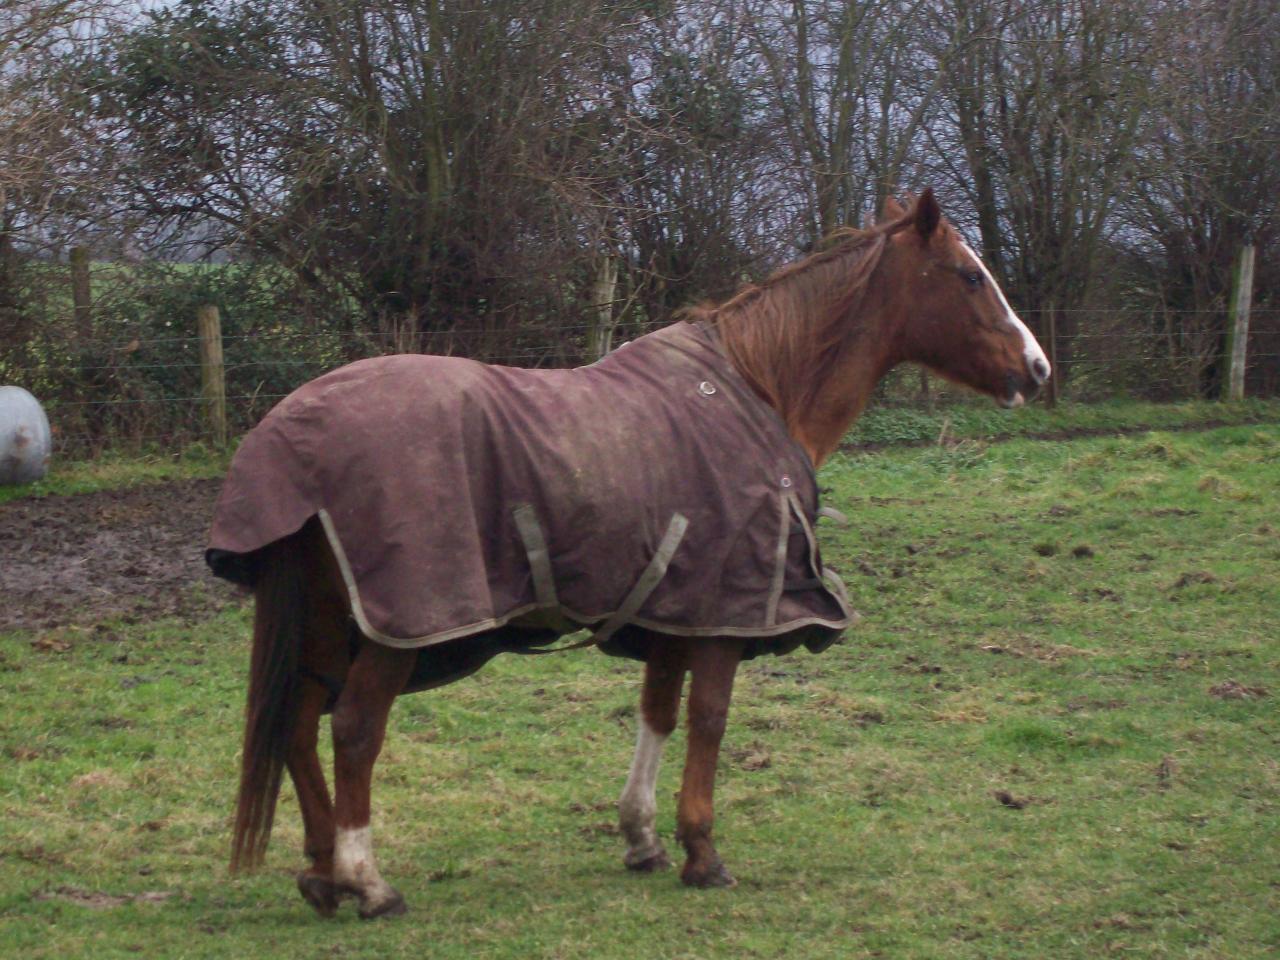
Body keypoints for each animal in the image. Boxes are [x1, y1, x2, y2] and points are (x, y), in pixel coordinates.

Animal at [220, 192, 1049, 921]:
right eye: (970, 275)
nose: (1037, 368)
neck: (759, 385)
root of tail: (287, 439)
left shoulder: (677, 605)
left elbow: (658, 710)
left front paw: (643, 837)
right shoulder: (724, 612)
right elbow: (709, 718)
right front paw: (702, 852)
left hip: (327, 621)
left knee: (297, 723)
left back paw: (323, 873)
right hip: (400, 625)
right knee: (354, 728)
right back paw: (367, 882)